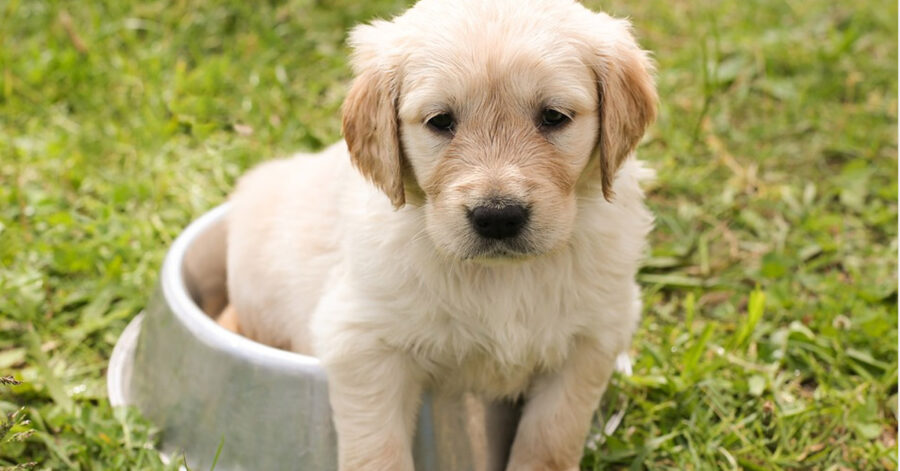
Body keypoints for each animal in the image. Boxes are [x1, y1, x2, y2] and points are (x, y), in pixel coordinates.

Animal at [224, 1, 652, 470]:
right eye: (440, 121)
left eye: (554, 116)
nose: (498, 217)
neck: (502, 276)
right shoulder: (363, 342)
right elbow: (377, 450)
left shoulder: (592, 339)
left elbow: (552, 438)